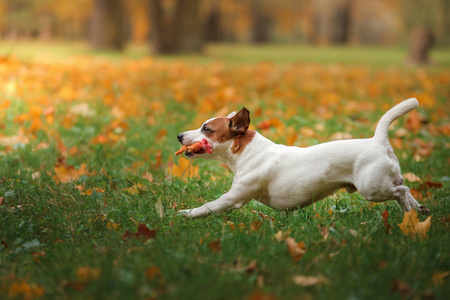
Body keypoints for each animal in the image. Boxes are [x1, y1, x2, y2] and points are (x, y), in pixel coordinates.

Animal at [176, 98, 428, 218]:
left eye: (206, 129)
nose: (179, 135)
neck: (248, 151)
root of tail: (378, 141)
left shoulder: (234, 198)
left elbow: (208, 206)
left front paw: (187, 214)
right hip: (384, 182)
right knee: (405, 190)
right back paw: (418, 211)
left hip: (372, 189)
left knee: (402, 191)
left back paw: (410, 210)